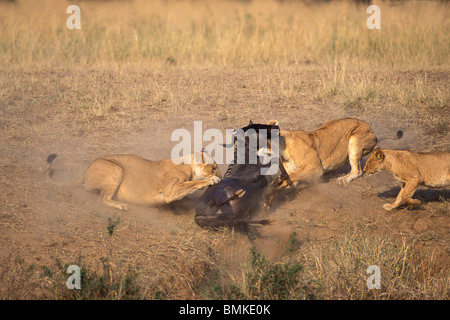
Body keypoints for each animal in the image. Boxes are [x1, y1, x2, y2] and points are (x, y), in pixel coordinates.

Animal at [45, 151, 221, 211]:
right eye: (213, 168)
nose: (220, 174)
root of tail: (84, 172)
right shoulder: (170, 192)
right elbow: (193, 184)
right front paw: (212, 180)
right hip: (116, 169)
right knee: (101, 199)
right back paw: (121, 206)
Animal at [264, 117, 400, 208]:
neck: (281, 148)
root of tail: (372, 131)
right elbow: (289, 181)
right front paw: (272, 197)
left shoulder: (315, 168)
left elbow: (289, 177)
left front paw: (270, 194)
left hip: (354, 140)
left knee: (357, 170)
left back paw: (343, 179)